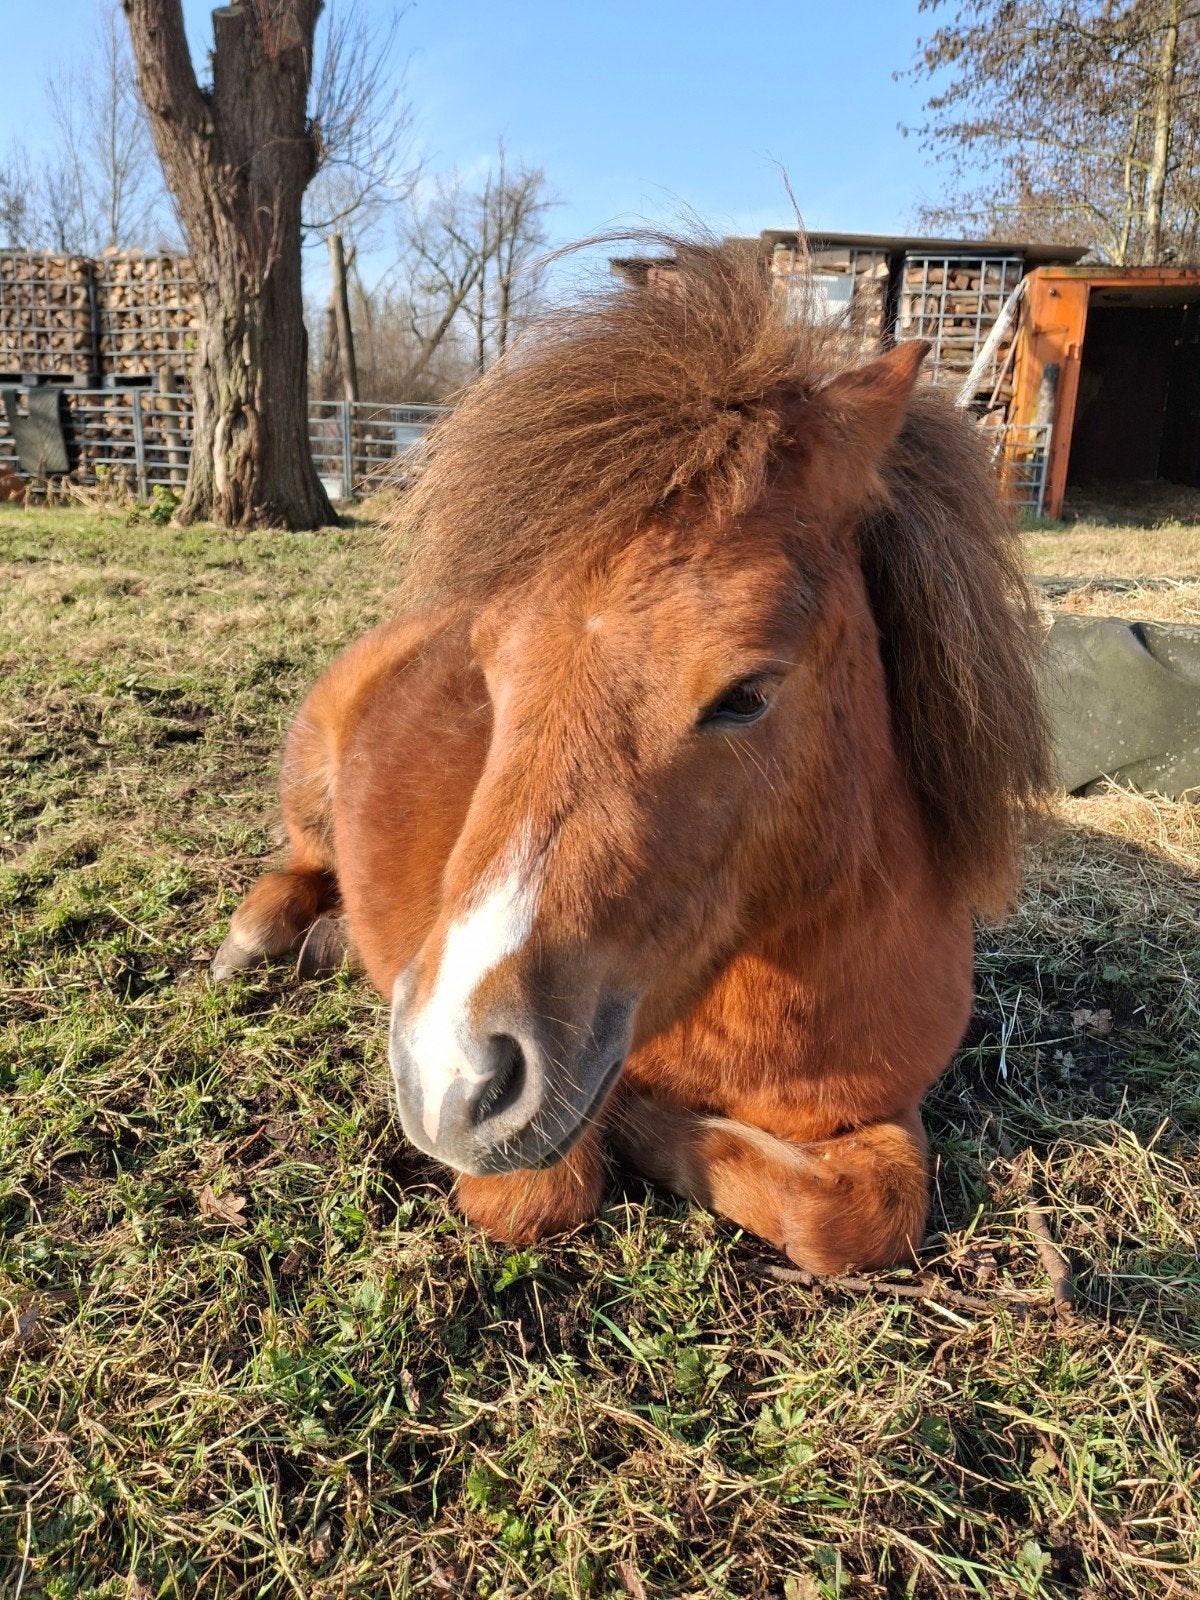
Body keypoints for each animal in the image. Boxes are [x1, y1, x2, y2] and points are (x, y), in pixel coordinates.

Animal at [213, 239, 1051, 1275]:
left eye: (747, 693)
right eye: (488, 665)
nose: (453, 1072)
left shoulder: (884, 1109)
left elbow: (859, 1213)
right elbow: (554, 1185)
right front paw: (639, 1122)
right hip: (312, 779)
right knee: (298, 861)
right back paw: (266, 934)